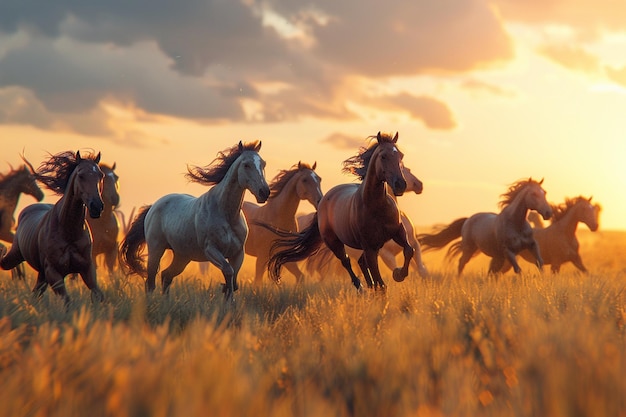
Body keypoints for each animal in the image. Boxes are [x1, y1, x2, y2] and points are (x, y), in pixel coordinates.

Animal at [0, 151, 105, 304]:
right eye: (81, 175)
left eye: (101, 175)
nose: (96, 206)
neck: (69, 232)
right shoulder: (53, 272)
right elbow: (66, 300)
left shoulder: (87, 268)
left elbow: (98, 294)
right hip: (16, 255)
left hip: (40, 273)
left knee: (36, 293)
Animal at [120, 141, 270, 298]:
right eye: (246, 165)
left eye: (263, 164)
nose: (264, 192)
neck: (226, 214)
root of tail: (153, 206)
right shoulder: (211, 250)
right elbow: (228, 272)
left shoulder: (238, 253)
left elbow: (233, 283)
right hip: (156, 250)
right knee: (150, 282)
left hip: (182, 256)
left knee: (166, 275)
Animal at [262, 132, 410, 290]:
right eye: (383, 156)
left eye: (401, 155)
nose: (400, 184)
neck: (376, 206)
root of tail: (323, 200)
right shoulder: (370, 247)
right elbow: (380, 283)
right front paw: (392, 279)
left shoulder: (397, 232)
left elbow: (409, 250)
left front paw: (399, 274)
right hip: (334, 242)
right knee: (347, 261)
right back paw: (361, 287)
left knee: (361, 262)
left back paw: (369, 286)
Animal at [298, 164, 426, 278]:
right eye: (405, 170)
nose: (419, 185)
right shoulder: (386, 255)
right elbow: (396, 268)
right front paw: (398, 275)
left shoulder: (413, 243)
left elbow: (420, 268)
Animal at [416, 177, 548, 274]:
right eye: (534, 194)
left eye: (544, 192)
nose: (548, 212)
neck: (516, 223)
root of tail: (468, 219)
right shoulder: (508, 251)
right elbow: (518, 270)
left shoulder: (532, 244)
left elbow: (540, 263)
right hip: (470, 249)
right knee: (461, 263)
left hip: (496, 256)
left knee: (491, 272)